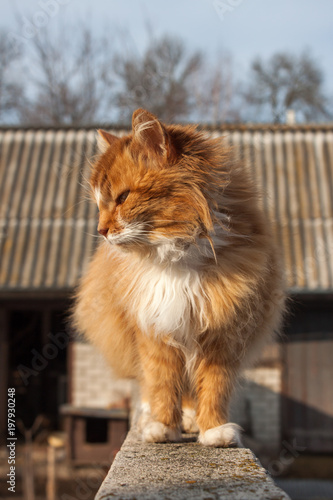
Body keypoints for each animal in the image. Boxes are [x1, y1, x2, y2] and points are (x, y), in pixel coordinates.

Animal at [74, 108, 284, 446]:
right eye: (99, 205)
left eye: (122, 198)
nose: (101, 230)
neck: (177, 257)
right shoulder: (155, 328)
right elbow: (162, 383)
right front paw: (162, 427)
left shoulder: (220, 332)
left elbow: (213, 388)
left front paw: (213, 430)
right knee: (151, 385)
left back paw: (191, 419)